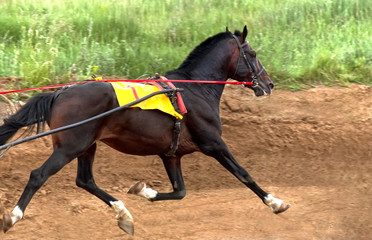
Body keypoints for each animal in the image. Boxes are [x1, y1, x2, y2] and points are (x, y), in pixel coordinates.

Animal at [0, 25, 290, 234]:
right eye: (252, 55)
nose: (269, 84)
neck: (194, 89)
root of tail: (59, 93)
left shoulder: (171, 154)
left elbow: (180, 192)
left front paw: (142, 190)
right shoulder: (213, 143)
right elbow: (244, 174)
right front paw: (275, 202)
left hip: (87, 146)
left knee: (85, 180)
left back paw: (123, 214)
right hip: (70, 147)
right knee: (39, 175)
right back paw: (13, 216)